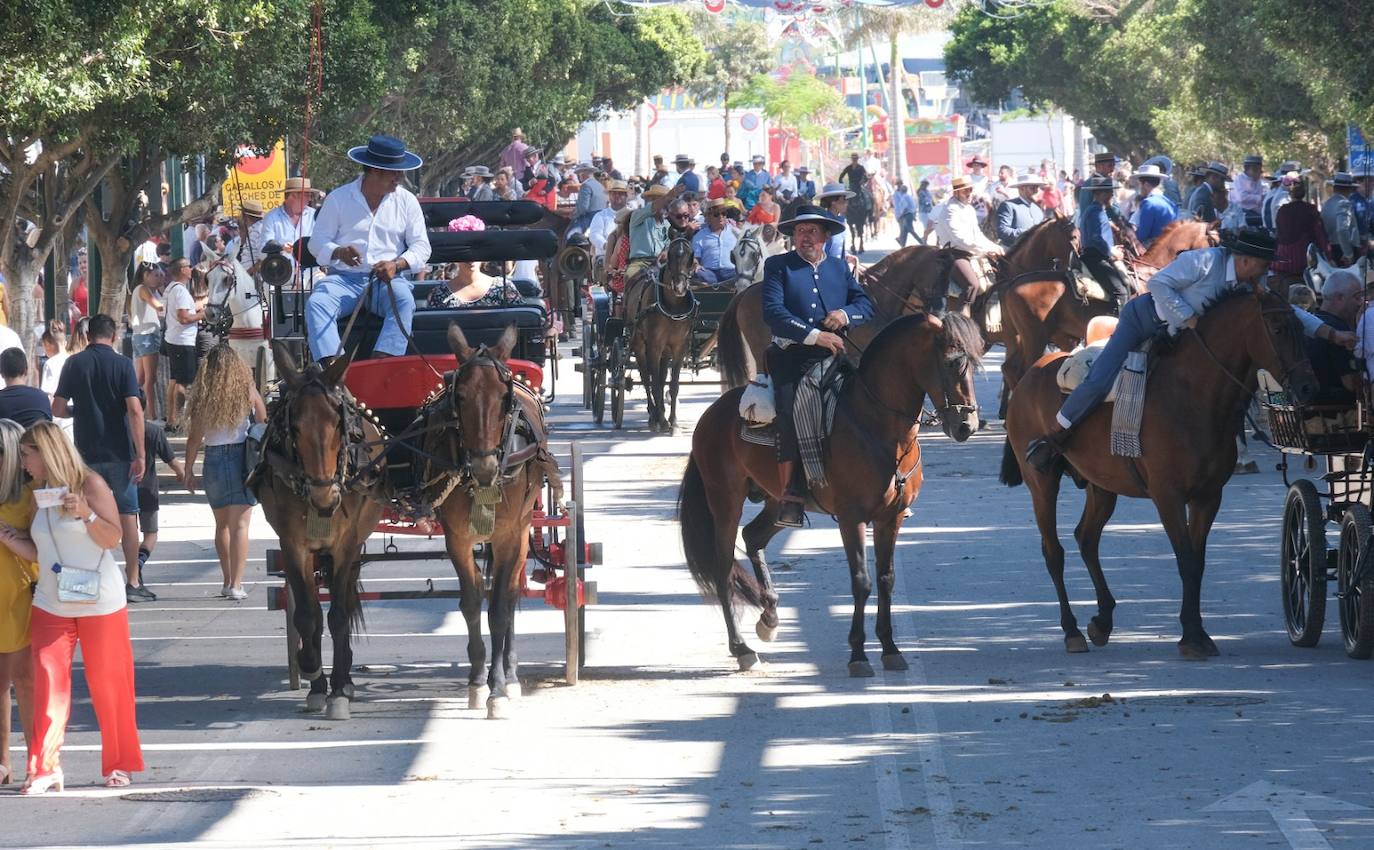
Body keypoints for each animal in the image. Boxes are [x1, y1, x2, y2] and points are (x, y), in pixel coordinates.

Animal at [255, 341, 387, 719]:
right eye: (295, 428)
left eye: (339, 424)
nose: (324, 498)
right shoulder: (293, 545)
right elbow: (306, 615)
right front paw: (312, 673)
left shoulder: (345, 546)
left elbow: (339, 615)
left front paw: (339, 690)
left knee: (345, 601)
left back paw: (346, 681)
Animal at [425, 324, 560, 719]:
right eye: (461, 396)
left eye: (504, 398)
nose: (484, 468)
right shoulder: (457, 537)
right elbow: (472, 603)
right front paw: (475, 681)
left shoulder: (510, 535)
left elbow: (500, 609)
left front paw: (497, 688)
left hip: (522, 530)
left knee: (511, 592)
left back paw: (510, 675)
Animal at [629, 233, 703, 431]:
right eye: (669, 255)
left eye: (691, 256)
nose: (679, 287)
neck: (673, 306)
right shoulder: (653, 346)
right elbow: (654, 383)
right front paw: (660, 419)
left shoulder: (679, 346)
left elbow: (672, 385)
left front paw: (673, 421)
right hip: (639, 345)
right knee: (646, 378)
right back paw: (653, 414)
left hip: (665, 351)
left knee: (661, 379)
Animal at [673, 314, 978, 678]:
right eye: (952, 362)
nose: (967, 425)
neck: (879, 429)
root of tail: (711, 414)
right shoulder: (851, 518)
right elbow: (861, 581)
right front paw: (858, 654)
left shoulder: (890, 518)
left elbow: (886, 578)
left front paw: (890, 648)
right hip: (725, 501)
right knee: (722, 568)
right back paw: (742, 648)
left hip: (778, 503)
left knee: (753, 537)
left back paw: (769, 617)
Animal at [1000, 284, 1319, 659]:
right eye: (1280, 329)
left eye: (1302, 328)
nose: (1309, 387)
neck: (1192, 393)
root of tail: (1029, 375)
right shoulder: (1168, 497)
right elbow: (1186, 559)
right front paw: (1191, 635)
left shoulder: (1208, 497)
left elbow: (1197, 561)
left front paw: (1198, 632)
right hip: (1042, 483)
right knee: (1054, 551)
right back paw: (1072, 630)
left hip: (1101, 486)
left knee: (1087, 539)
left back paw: (1102, 620)